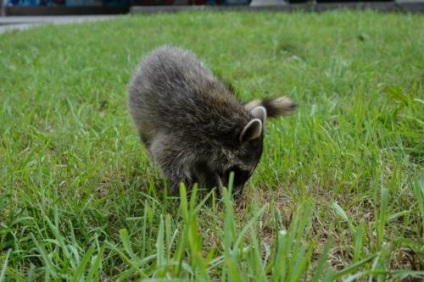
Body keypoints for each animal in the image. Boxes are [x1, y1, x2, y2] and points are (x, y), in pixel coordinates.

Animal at [127, 46, 296, 196]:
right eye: (239, 172)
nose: (237, 197)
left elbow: (206, 169)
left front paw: (212, 192)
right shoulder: (183, 134)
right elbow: (169, 162)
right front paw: (185, 194)